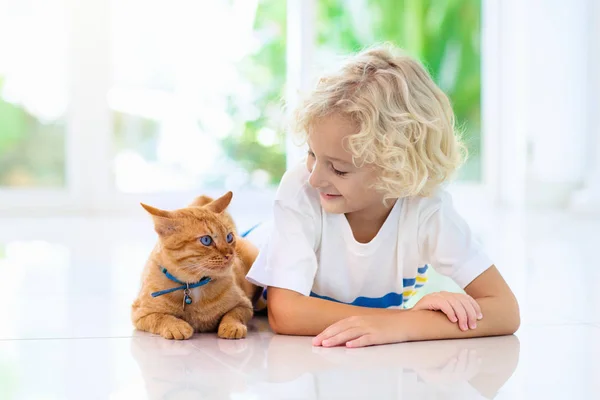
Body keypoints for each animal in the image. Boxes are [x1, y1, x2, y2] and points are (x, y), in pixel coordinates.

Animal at [132, 192, 258, 340]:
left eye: (229, 237)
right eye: (206, 240)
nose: (230, 254)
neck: (192, 285)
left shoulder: (245, 305)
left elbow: (233, 314)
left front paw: (232, 326)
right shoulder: (140, 313)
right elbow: (161, 317)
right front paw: (177, 326)